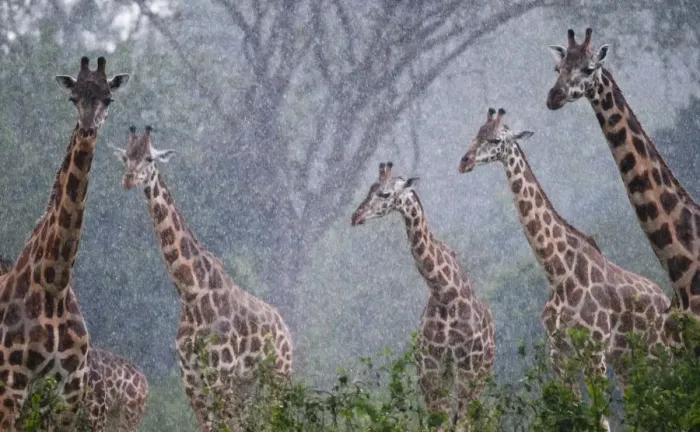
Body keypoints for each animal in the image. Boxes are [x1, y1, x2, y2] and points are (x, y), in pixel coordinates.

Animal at [0, 56, 128, 431]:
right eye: (73, 97)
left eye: (108, 99)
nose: (87, 133)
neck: (54, 283)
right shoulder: (10, 386)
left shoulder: (68, 398)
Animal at [111, 126, 293, 431]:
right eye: (126, 157)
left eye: (149, 158)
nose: (128, 179)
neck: (190, 291)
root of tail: (288, 333)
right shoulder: (192, 380)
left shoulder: (220, 374)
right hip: (247, 386)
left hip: (277, 379)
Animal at [351, 162, 495, 430]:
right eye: (370, 189)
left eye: (385, 194)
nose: (356, 216)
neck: (444, 293)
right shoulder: (430, 370)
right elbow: (438, 424)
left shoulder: (467, 369)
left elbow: (460, 424)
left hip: (481, 375)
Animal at [458, 108, 673, 430]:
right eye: (475, 134)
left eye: (495, 139)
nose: (465, 161)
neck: (558, 273)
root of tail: (666, 299)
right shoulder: (559, 354)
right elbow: (574, 414)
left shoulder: (593, 351)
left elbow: (600, 419)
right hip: (626, 358)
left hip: (657, 349)